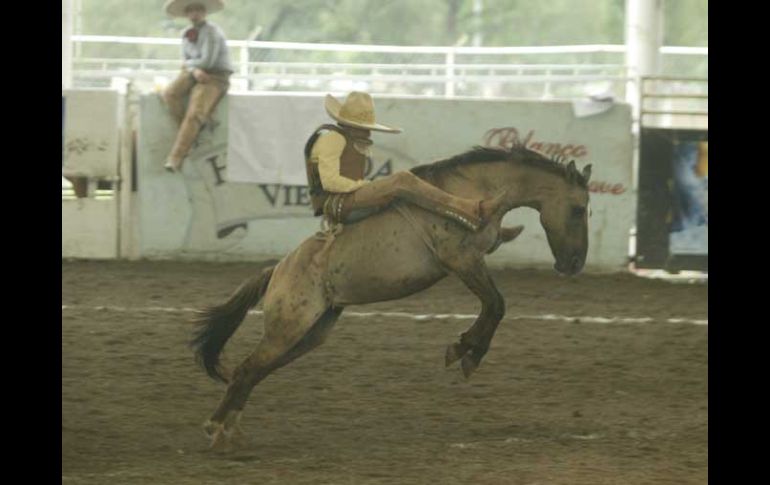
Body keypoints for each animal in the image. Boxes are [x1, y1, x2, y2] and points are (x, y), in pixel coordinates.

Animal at [190, 146, 588, 448]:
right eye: (579, 208)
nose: (575, 263)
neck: (474, 189)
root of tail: (277, 270)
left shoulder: (470, 262)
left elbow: (494, 306)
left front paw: (465, 350)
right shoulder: (461, 260)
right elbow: (496, 304)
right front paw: (464, 352)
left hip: (310, 333)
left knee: (253, 372)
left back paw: (229, 430)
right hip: (288, 327)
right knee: (246, 369)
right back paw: (215, 428)